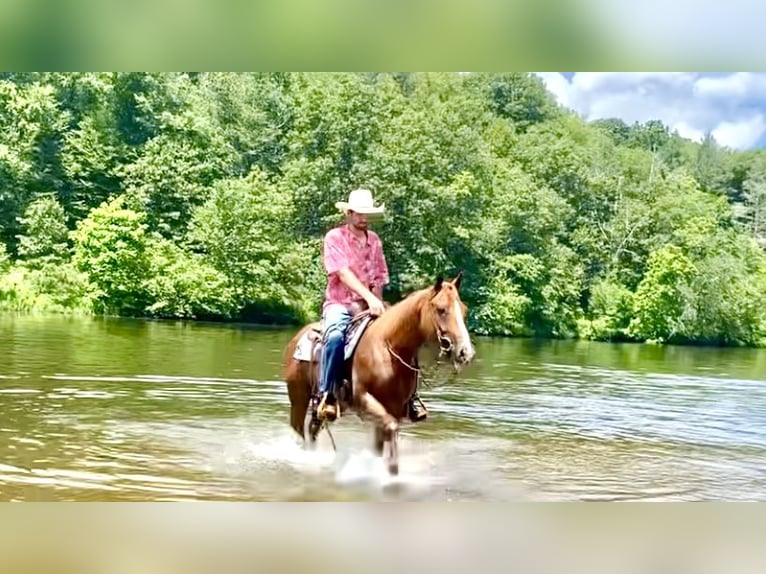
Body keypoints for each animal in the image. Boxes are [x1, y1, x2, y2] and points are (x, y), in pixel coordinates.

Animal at [282, 272, 476, 475]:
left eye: (464, 309)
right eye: (441, 309)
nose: (465, 352)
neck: (387, 347)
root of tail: (297, 338)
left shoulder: (393, 408)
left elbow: (382, 442)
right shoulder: (364, 400)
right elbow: (391, 428)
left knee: (313, 429)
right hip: (298, 400)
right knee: (299, 429)